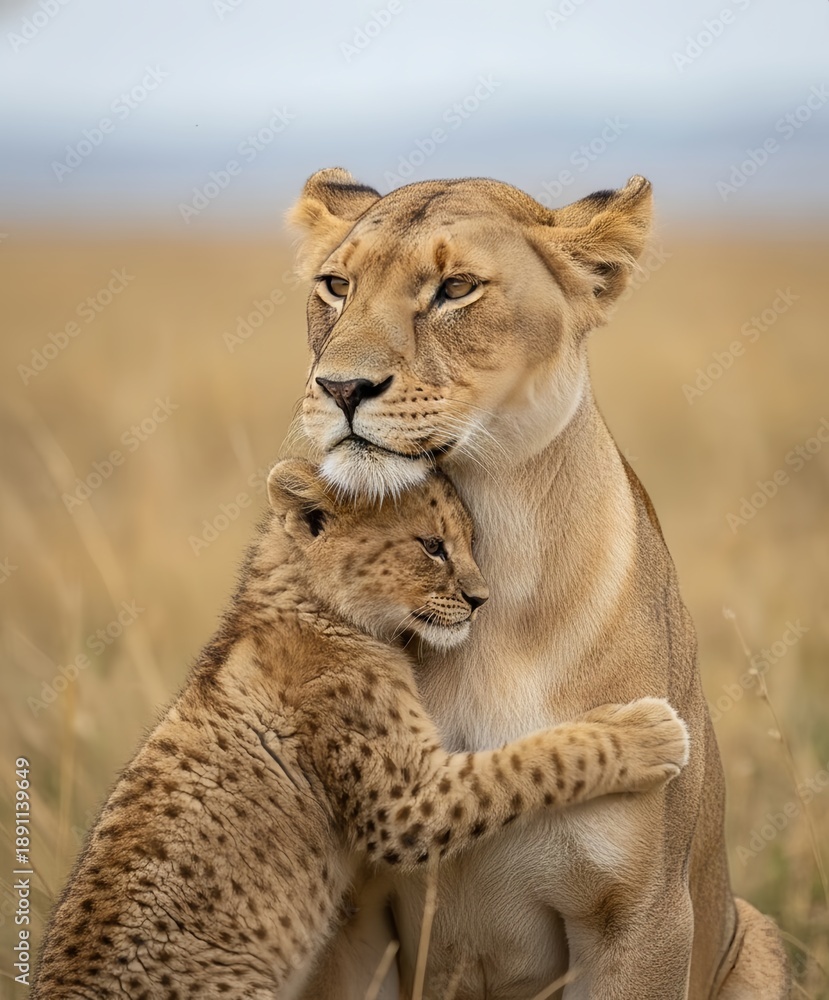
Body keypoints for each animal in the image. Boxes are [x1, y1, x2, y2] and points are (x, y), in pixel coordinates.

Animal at [290, 168, 791, 999]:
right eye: (336, 285)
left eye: (455, 288)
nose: (340, 387)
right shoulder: (352, 921)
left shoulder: (641, 918)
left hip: (754, 936)